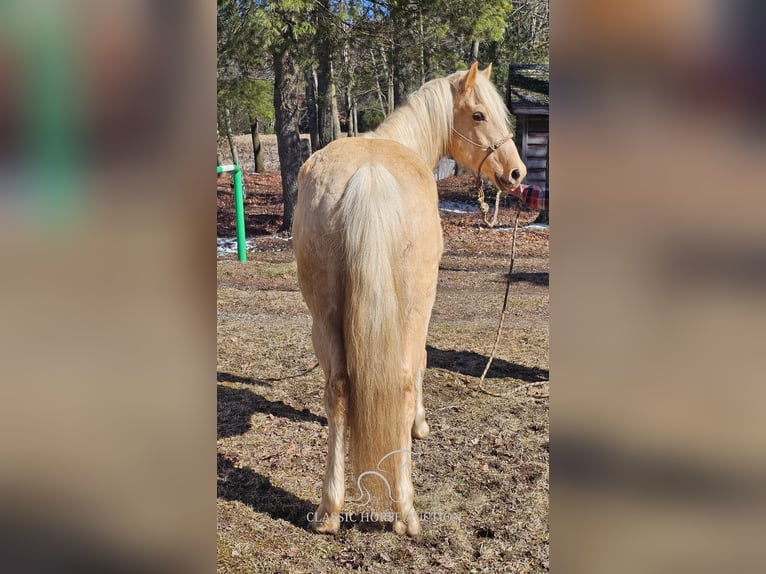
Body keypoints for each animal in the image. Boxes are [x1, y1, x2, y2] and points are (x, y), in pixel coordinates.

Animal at [294, 60, 528, 536]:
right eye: (479, 115)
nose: (517, 174)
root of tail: (368, 177)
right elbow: (420, 363)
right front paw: (420, 426)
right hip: (412, 308)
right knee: (402, 380)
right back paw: (405, 511)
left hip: (323, 316)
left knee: (338, 389)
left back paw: (329, 510)